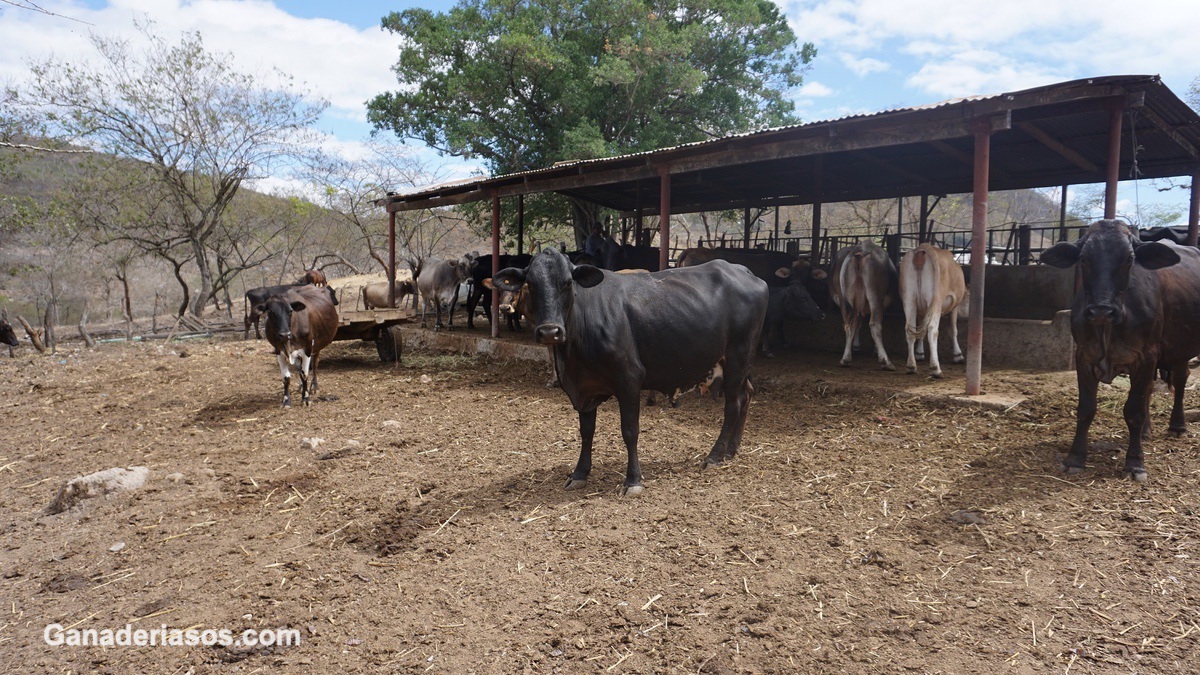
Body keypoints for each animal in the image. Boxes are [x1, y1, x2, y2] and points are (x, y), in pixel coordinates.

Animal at [494, 247, 768, 494]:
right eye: (529, 284)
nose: (550, 331)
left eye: (567, 283)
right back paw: (731, 450)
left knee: (733, 404)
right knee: (746, 395)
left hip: (738, 357)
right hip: (736, 365)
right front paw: (579, 473)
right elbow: (586, 432)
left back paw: (714, 456)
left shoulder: (629, 379)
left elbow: (630, 431)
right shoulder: (584, 388)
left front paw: (633, 480)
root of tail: (743, 271)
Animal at [830, 240, 897, 369]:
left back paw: (845, 359)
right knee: (875, 324)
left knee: (849, 324)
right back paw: (885, 361)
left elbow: (857, 323)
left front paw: (855, 346)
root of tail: (861, 247)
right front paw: (874, 350)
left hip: (845, 298)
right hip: (874, 294)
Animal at [897, 242, 969, 379]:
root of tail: (923, 248)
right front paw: (958, 355)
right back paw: (936, 368)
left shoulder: (922, 310)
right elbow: (953, 330)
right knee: (932, 329)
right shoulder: (954, 307)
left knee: (910, 329)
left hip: (909, 298)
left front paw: (919, 353)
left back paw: (911, 366)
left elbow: (921, 329)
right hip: (936, 299)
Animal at [1041, 219, 1200, 478]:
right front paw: (1075, 458)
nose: (1101, 310)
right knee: (1150, 389)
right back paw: (1146, 432)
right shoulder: (1084, 355)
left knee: (1180, 379)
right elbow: (1086, 408)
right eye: (1084, 258)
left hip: (1180, 349)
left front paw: (1135, 463)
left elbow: (1134, 411)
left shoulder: (1146, 356)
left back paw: (1177, 426)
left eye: (1129, 258)